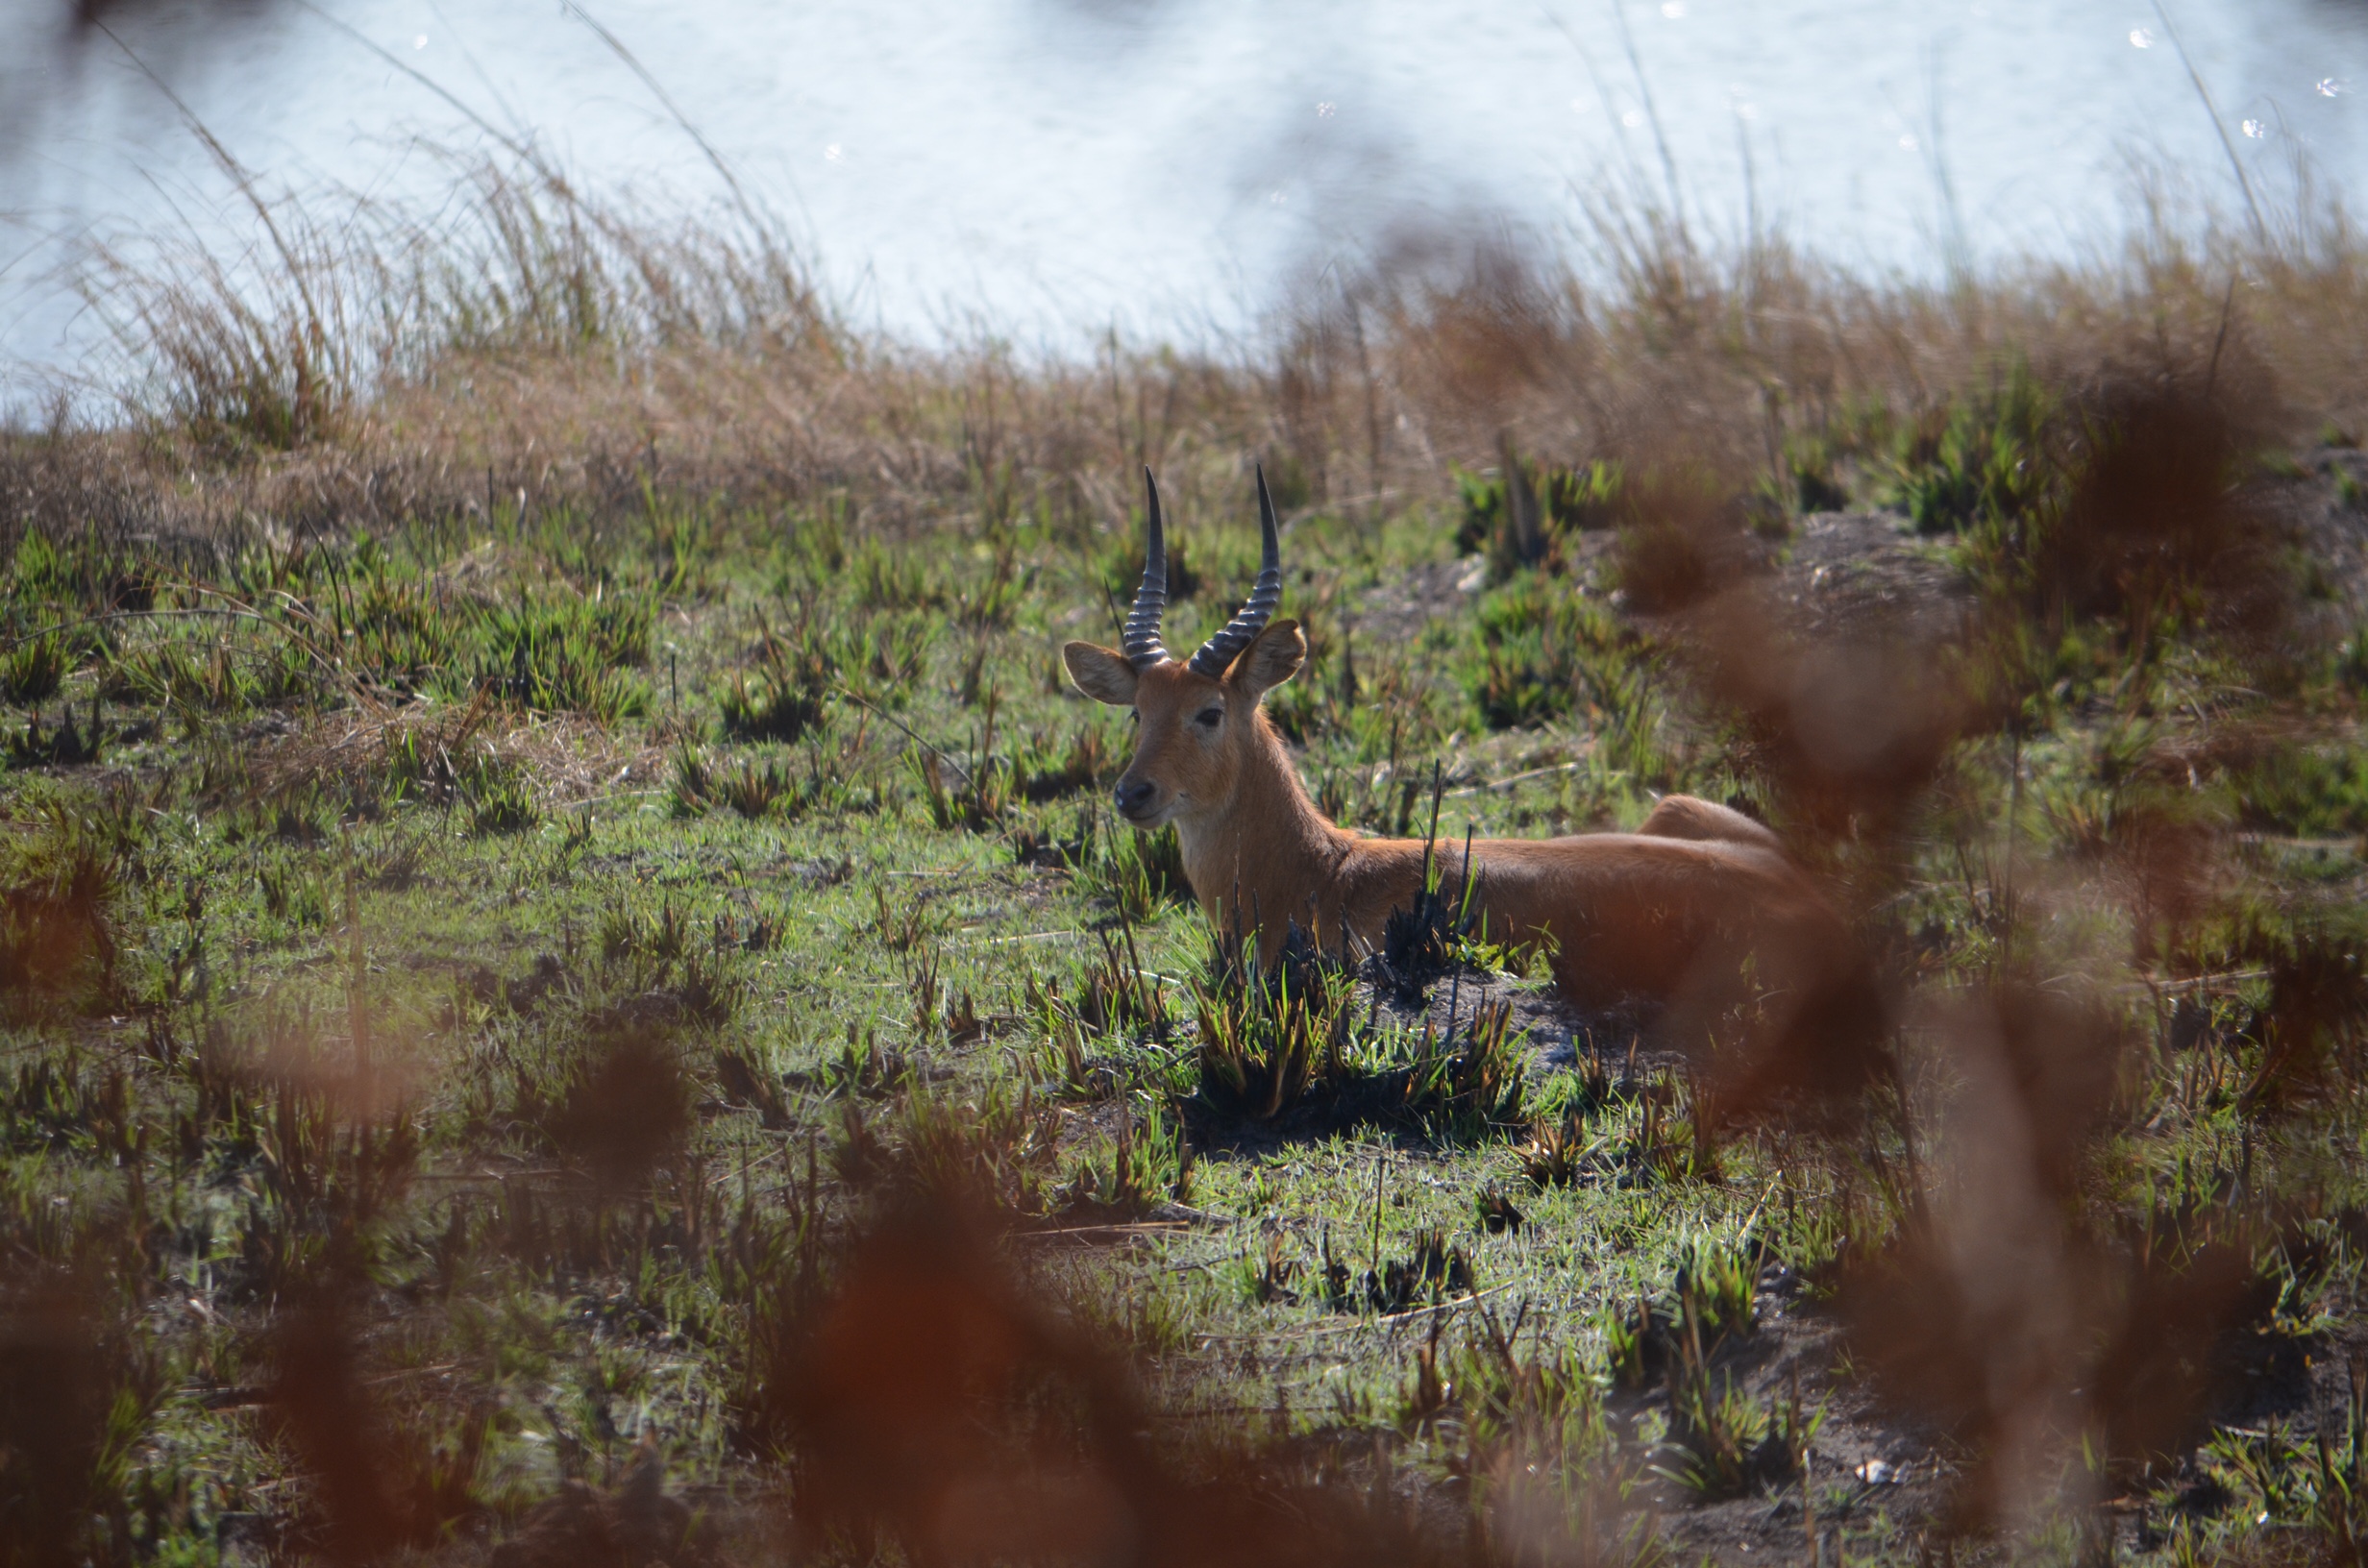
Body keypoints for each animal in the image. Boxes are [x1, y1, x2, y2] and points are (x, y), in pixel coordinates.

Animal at [1070, 466, 1885, 1093]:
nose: (1133, 794)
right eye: (1138, 711)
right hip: (1678, 809)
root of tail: (1810, 902)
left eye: (1209, 711)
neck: (1322, 869)